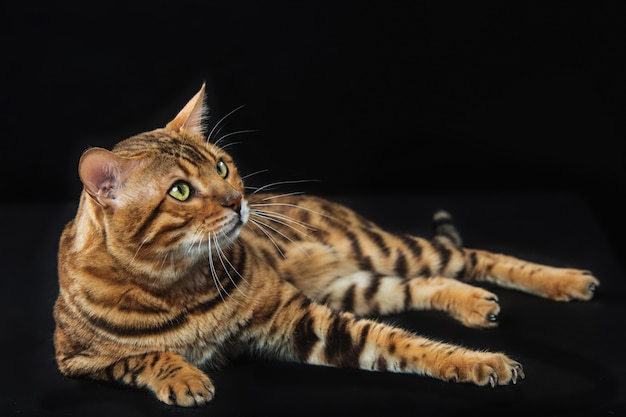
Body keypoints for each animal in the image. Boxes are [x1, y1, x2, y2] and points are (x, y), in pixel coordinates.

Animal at [52, 83, 596, 404]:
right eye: (181, 191)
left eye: (222, 166)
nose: (238, 201)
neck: (176, 282)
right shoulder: (75, 360)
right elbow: (140, 357)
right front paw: (183, 377)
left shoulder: (295, 318)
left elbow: (404, 342)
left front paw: (481, 361)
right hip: (353, 284)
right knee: (419, 284)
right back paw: (475, 303)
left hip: (379, 249)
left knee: (469, 257)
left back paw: (566, 281)